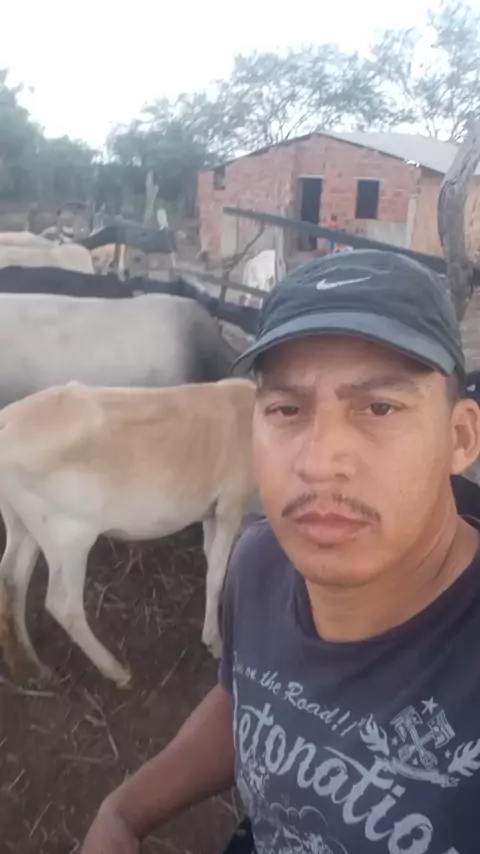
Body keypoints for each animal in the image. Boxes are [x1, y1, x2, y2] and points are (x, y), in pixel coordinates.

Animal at [0, 378, 257, 686]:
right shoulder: (231, 501)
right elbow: (216, 574)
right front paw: (215, 642)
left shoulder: (211, 510)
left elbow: (211, 560)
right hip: (68, 534)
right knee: (62, 603)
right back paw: (117, 671)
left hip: (23, 522)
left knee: (13, 578)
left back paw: (32, 665)